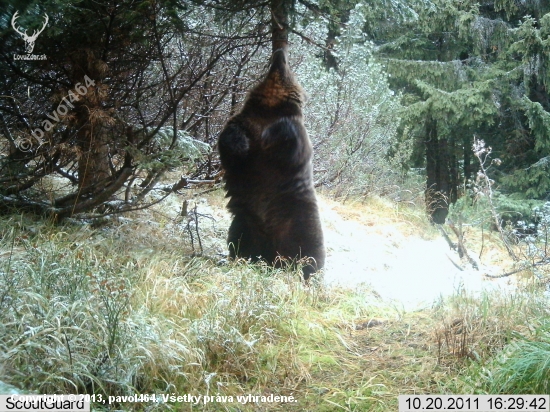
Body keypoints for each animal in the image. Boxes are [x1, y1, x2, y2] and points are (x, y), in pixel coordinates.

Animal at [218, 49, 326, 280]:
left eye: (286, 64)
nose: (279, 53)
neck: (268, 109)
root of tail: (274, 258)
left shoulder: (294, 139)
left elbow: (294, 148)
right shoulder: (245, 120)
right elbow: (228, 143)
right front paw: (239, 143)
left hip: (302, 222)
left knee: (310, 254)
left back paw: (307, 275)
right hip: (245, 221)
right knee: (238, 241)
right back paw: (241, 261)